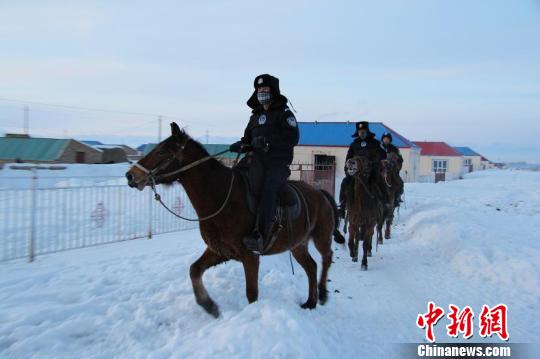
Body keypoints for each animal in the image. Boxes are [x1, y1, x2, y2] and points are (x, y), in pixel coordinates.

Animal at [125, 124, 344, 318]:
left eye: (162, 152)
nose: (130, 175)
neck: (222, 197)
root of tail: (321, 193)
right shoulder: (219, 251)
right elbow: (194, 270)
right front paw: (209, 305)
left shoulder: (250, 256)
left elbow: (252, 294)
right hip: (297, 244)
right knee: (311, 266)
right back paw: (310, 302)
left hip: (321, 237)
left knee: (326, 258)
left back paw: (322, 293)